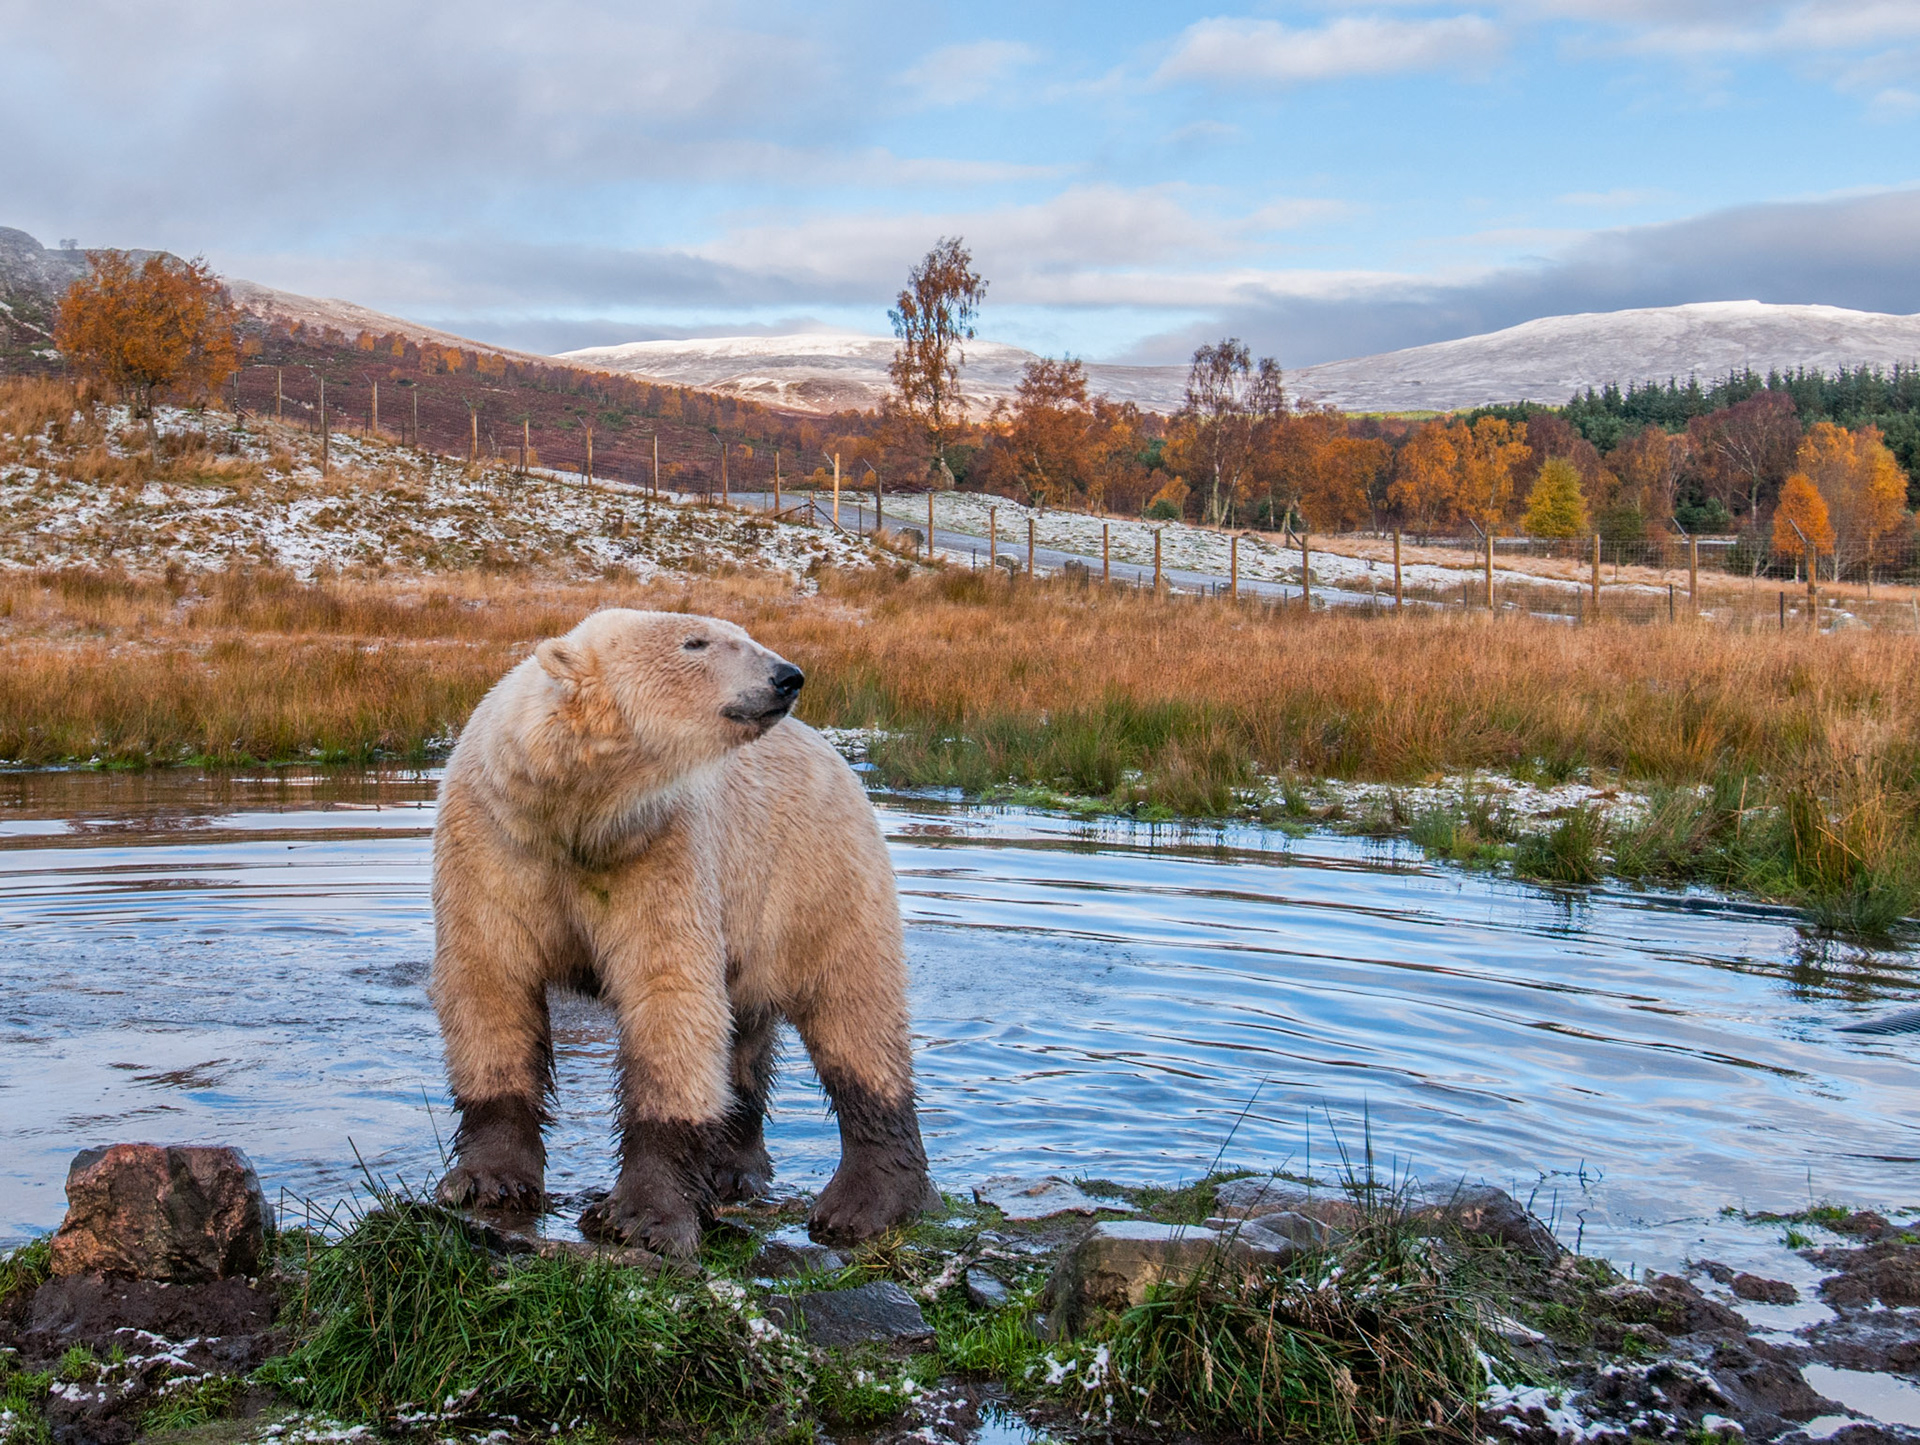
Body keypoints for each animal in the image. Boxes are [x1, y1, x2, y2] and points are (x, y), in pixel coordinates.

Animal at [428, 607, 939, 1255]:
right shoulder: (495, 841)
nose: (787, 676)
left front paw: (639, 1218)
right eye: (695, 642)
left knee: (853, 1014)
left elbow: (668, 996)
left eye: (742, 635)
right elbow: (490, 981)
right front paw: (486, 1182)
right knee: (749, 1035)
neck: (573, 811)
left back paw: (866, 1204)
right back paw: (732, 1169)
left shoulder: (660, 848)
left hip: (814, 878)